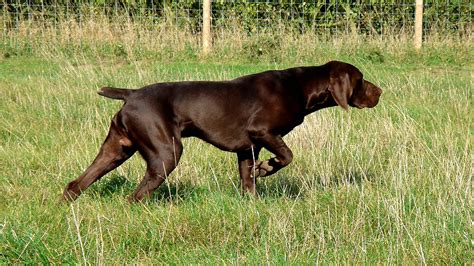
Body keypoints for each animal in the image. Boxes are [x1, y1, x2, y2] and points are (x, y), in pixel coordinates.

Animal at [63, 60, 382, 202]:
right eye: (361, 79)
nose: (380, 92)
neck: (299, 87)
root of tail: (131, 94)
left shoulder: (248, 148)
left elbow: (248, 182)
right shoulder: (263, 132)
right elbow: (287, 156)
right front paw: (267, 168)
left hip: (116, 149)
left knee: (75, 184)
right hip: (166, 153)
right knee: (136, 195)